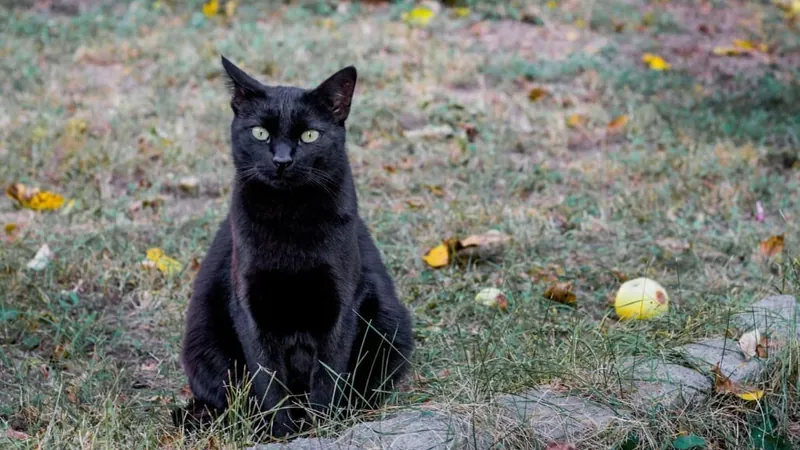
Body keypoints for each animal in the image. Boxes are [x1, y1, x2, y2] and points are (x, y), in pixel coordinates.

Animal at [173, 54, 416, 438]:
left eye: (309, 135)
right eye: (260, 133)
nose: (282, 160)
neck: (290, 217)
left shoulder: (341, 304)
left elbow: (328, 374)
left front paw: (322, 428)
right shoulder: (250, 306)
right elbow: (269, 379)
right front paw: (282, 433)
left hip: (391, 326)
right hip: (204, 345)